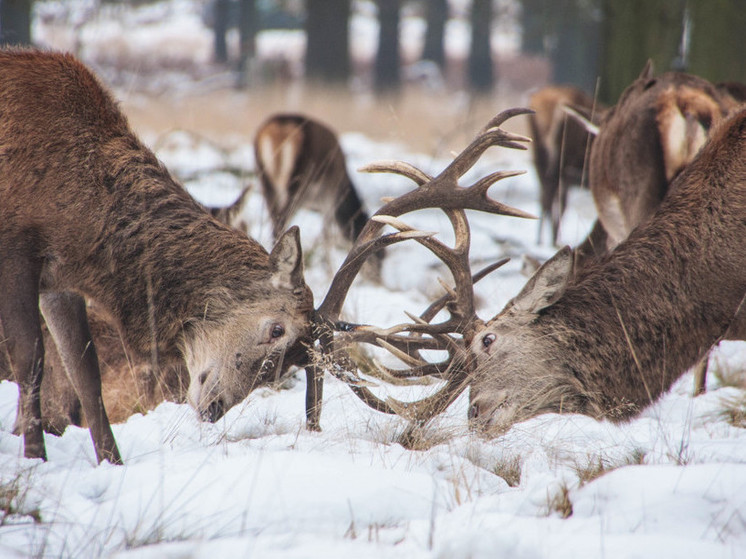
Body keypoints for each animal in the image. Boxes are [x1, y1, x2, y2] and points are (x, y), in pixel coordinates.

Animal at [0, 50, 314, 466]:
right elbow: (29, 361)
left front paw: (112, 462)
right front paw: (35, 458)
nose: (214, 408)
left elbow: (84, 371)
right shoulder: (15, 252)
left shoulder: (60, 278)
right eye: (277, 329)